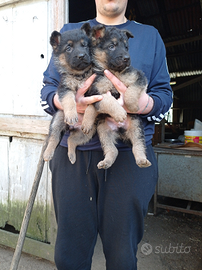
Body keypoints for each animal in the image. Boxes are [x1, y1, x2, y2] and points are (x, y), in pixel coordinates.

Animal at [80, 25, 152, 169]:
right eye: (111, 46)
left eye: (126, 47)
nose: (127, 58)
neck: (114, 71)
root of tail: (120, 130)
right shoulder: (95, 93)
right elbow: (108, 100)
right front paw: (119, 113)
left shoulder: (138, 77)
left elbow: (131, 91)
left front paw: (132, 105)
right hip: (103, 130)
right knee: (112, 149)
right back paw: (106, 162)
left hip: (136, 126)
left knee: (138, 145)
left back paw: (142, 160)